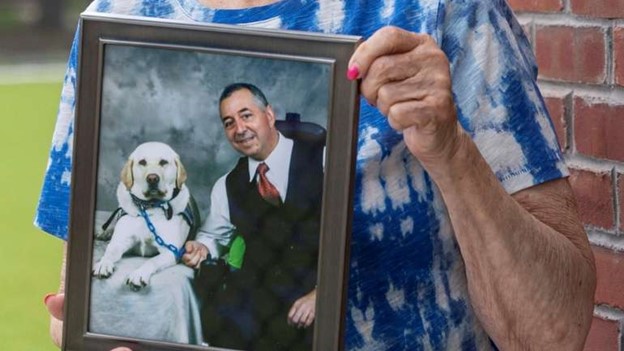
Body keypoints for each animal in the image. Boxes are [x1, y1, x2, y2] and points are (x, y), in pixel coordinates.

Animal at [92, 142, 199, 290]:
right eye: (142, 162)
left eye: (163, 162)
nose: (152, 178)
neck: (149, 208)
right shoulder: (119, 242)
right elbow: (109, 252)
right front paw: (103, 264)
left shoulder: (170, 251)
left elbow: (152, 261)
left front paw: (139, 274)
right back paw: (104, 233)